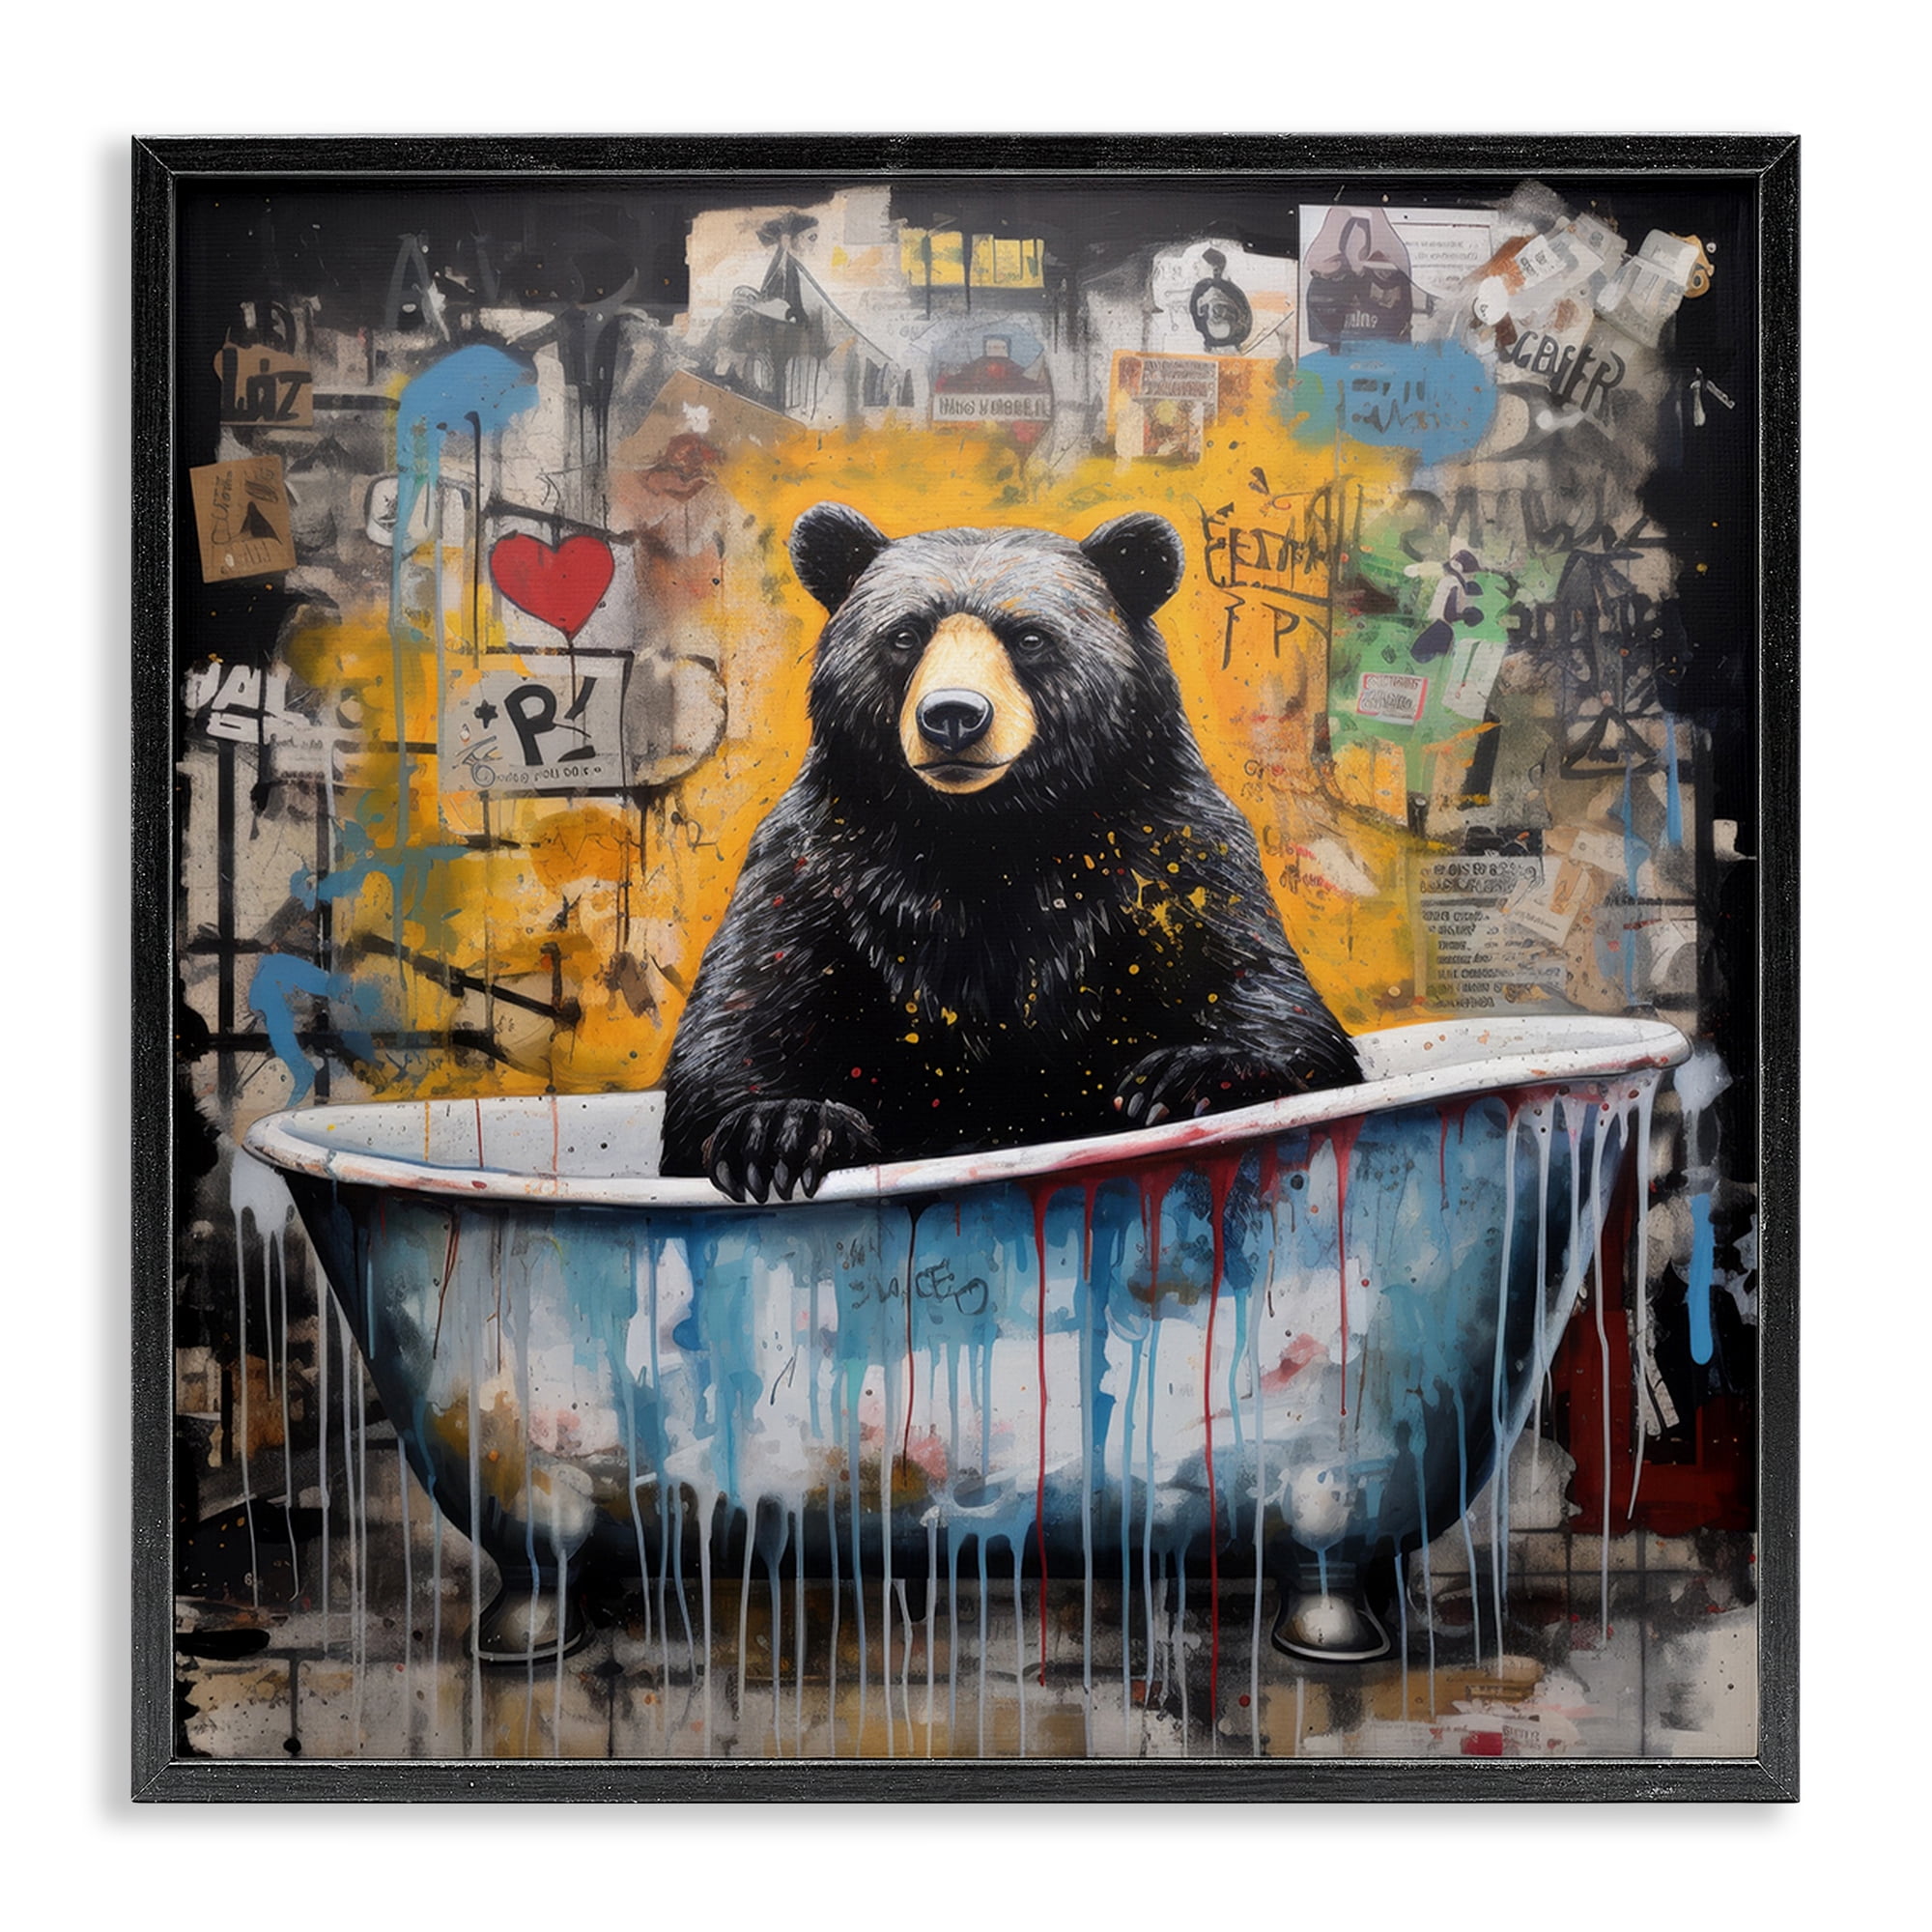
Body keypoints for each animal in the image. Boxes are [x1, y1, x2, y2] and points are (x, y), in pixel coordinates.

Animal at [660, 503, 1360, 1202]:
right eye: (905, 635)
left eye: (1029, 638)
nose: (952, 715)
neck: (992, 834)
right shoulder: (819, 872)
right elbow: (743, 1014)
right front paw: (779, 1128)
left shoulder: (1170, 856)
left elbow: (1262, 989)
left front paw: (1188, 1075)